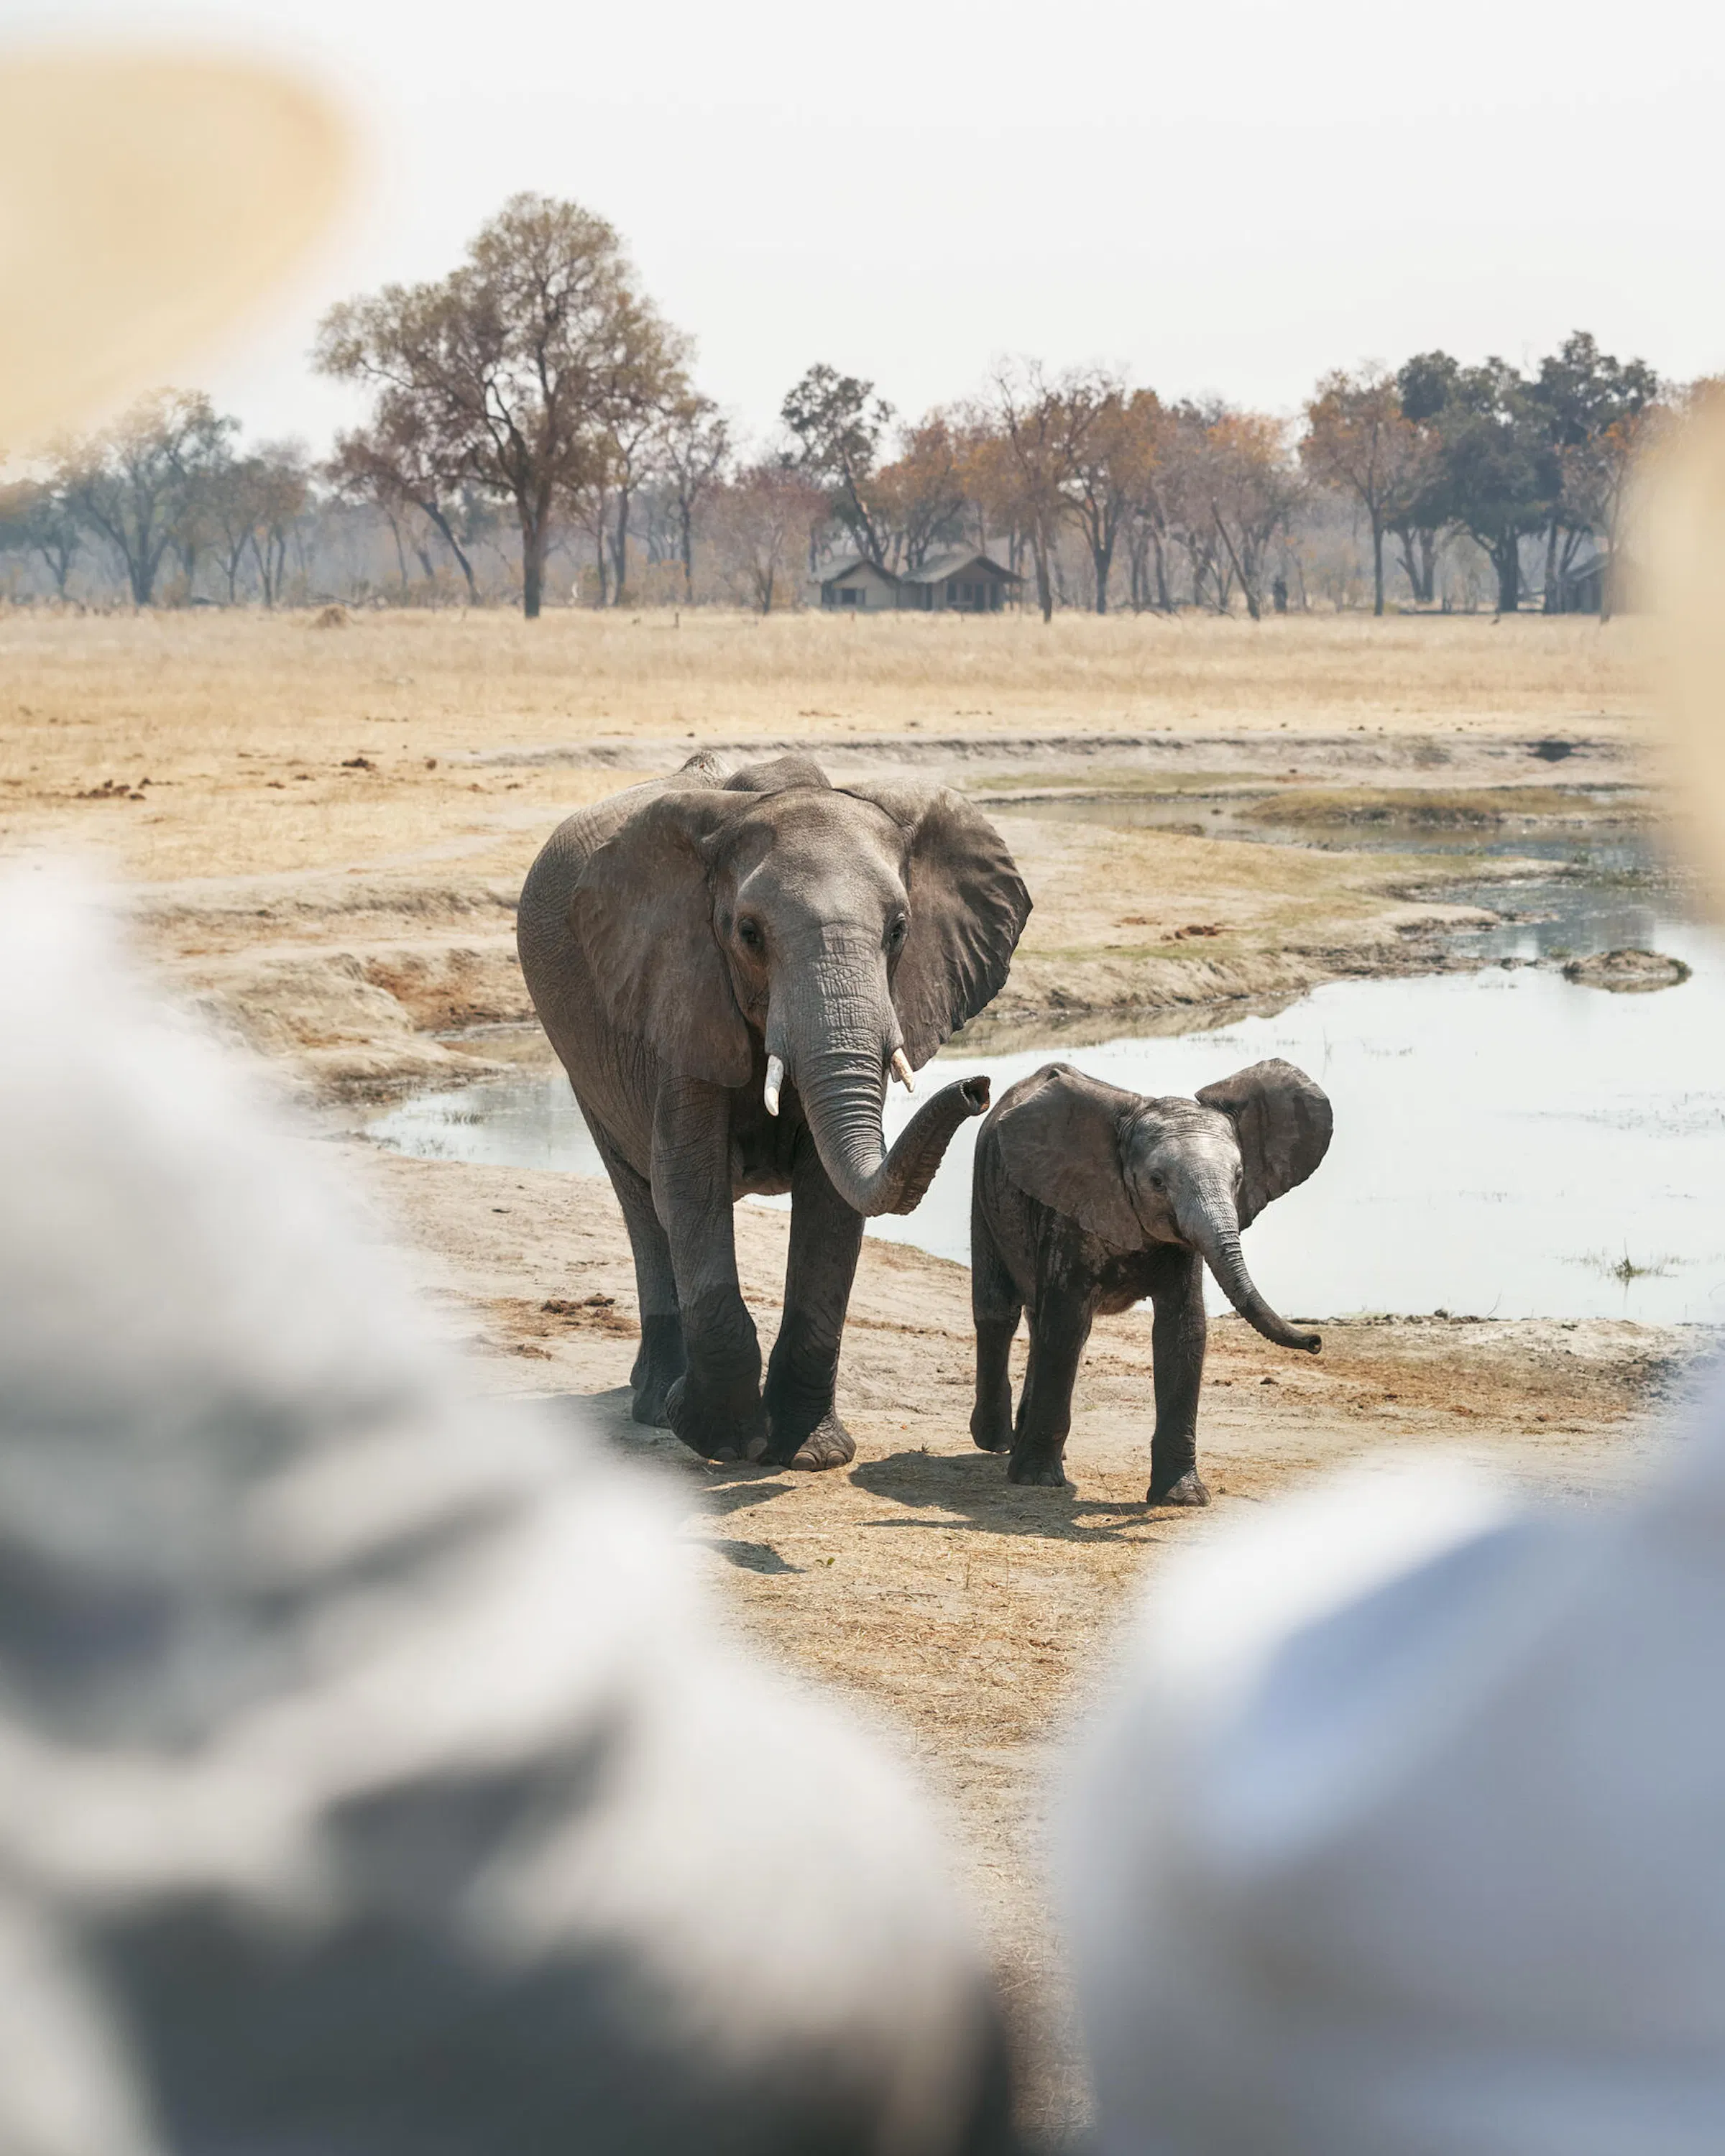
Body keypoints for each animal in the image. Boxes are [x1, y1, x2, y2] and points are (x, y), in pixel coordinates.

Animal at [517, 751, 1032, 1469]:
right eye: (749, 934)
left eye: (899, 930)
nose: (977, 1089)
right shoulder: (678, 991)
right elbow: (690, 1187)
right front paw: (720, 1439)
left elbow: (831, 1199)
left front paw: (809, 1454)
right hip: (584, 1060)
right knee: (640, 1199)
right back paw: (654, 1404)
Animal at [969, 1057, 1332, 1504]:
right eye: (1157, 1182)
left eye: (1238, 1176)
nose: (1315, 1342)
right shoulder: (1068, 1215)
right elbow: (1067, 1326)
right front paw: (1036, 1481)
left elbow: (1183, 1329)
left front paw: (1183, 1497)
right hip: (984, 1190)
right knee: (1000, 1311)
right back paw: (994, 1440)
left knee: (1038, 1323)